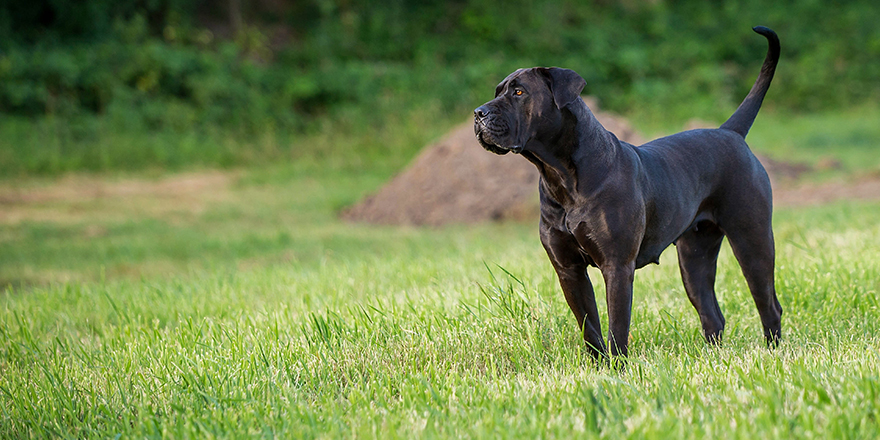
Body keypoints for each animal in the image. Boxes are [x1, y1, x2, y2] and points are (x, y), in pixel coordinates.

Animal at [474, 26, 784, 358]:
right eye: (497, 91)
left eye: (519, 93)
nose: (478, 113)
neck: (561, 175)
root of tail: (730, 132)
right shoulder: (569, 270)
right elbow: (589, 326)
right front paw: (597, 364)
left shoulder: (617, 266)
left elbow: (617, 327)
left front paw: (617, 365)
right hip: (694, 258)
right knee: (712, 314)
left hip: (752, 241)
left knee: (769, 305)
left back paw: (774, 352)